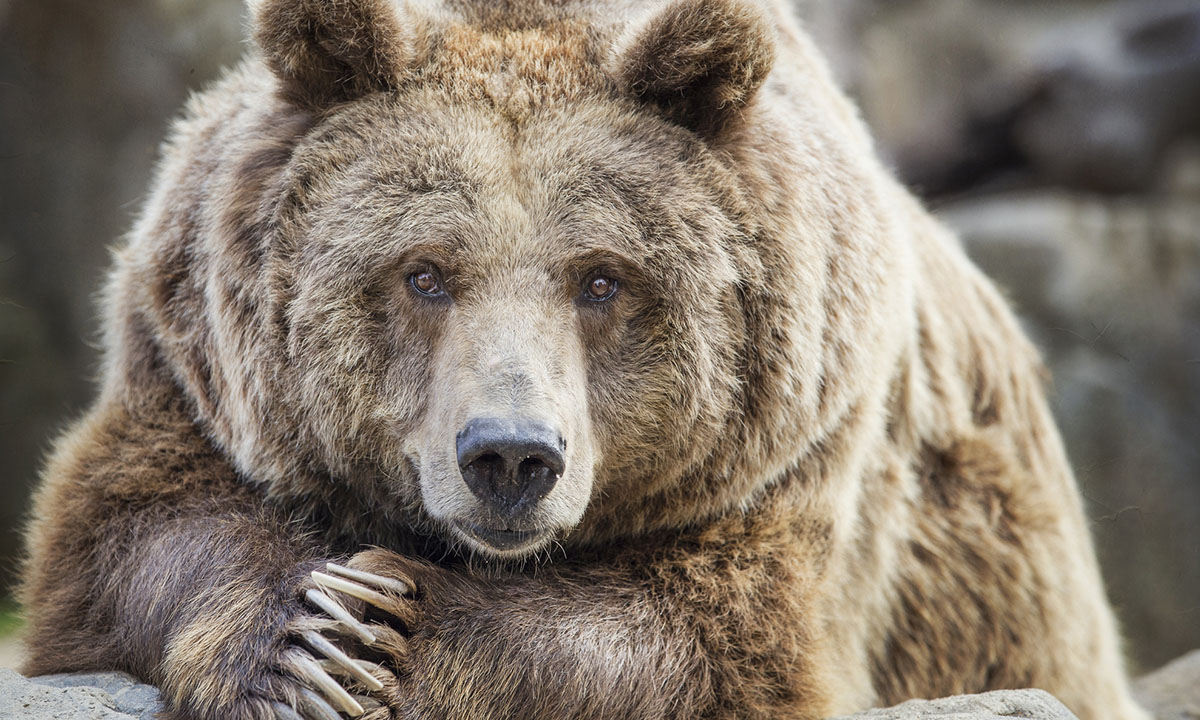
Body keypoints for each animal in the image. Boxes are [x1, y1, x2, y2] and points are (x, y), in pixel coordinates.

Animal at [18, 0, 1150, 719]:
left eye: (602, 279)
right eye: (424, 272)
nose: (511, 457)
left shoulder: (796, 444)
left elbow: (698, 641)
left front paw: (396, 631)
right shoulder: (189, 362)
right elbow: (129, 530)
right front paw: (316, 644)